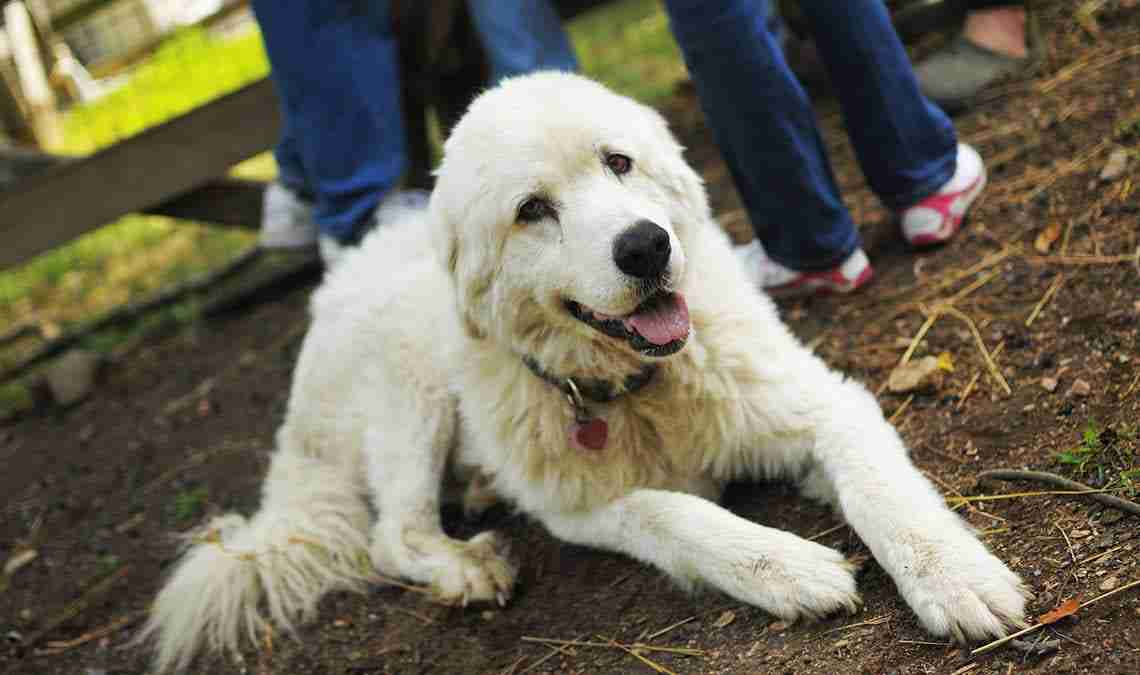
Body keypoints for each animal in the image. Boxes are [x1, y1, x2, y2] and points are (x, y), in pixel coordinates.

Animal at [137, 74, 1030, 670]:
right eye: (533, 209)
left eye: (619, 162)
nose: (645, 247)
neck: (638, 386)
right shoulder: (574, 504)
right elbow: (671, 511)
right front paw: (789, 568)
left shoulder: (820, 404)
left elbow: (884, 493)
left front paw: (955, 578)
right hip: (412, 387)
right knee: (393, 532)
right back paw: (464, 563)